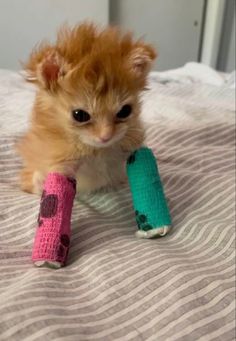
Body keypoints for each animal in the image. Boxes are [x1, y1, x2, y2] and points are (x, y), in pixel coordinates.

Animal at [16, 22, 157, 194]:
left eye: (125, 111)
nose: (106, 137)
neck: (97, 151)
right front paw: (43, 181)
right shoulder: (63, 161)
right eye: (80, 115)